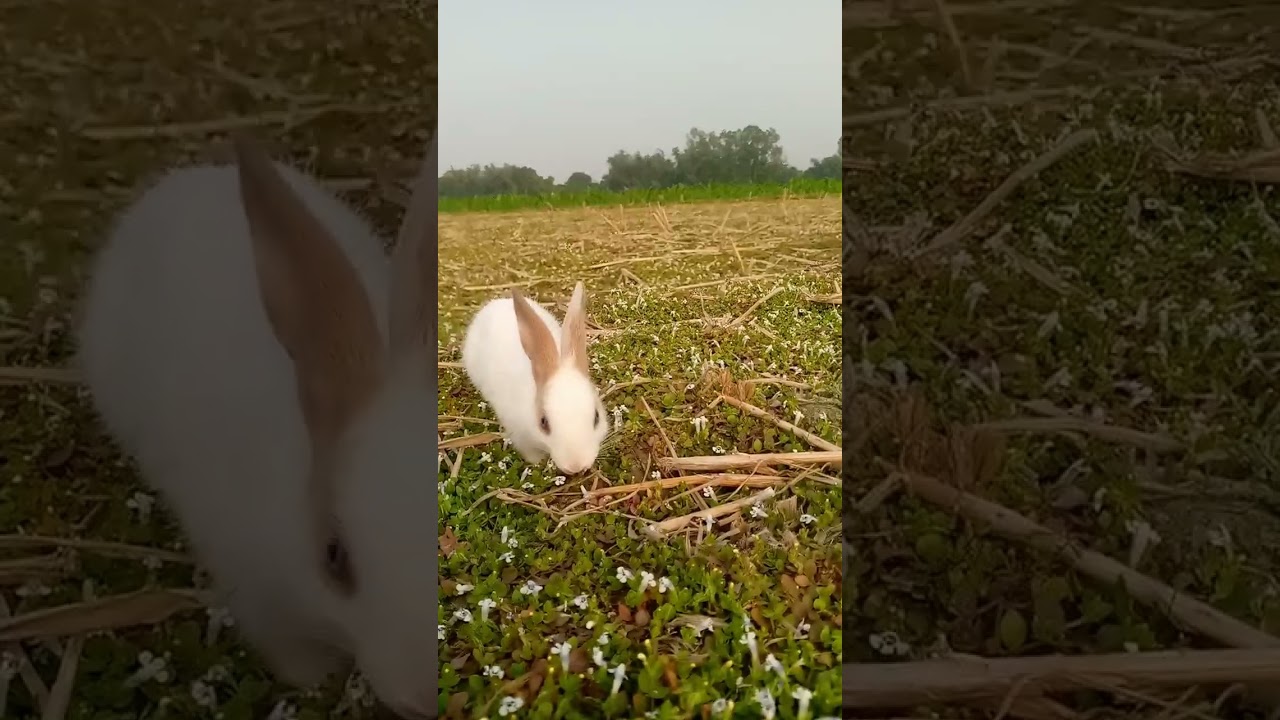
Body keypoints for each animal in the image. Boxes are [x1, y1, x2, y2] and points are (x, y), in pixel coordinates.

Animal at [460, 282, 609, 475]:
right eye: (543, 422)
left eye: (596, 417)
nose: (575, 466)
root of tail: (497, 303)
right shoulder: (520, 436)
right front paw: (538, 464)